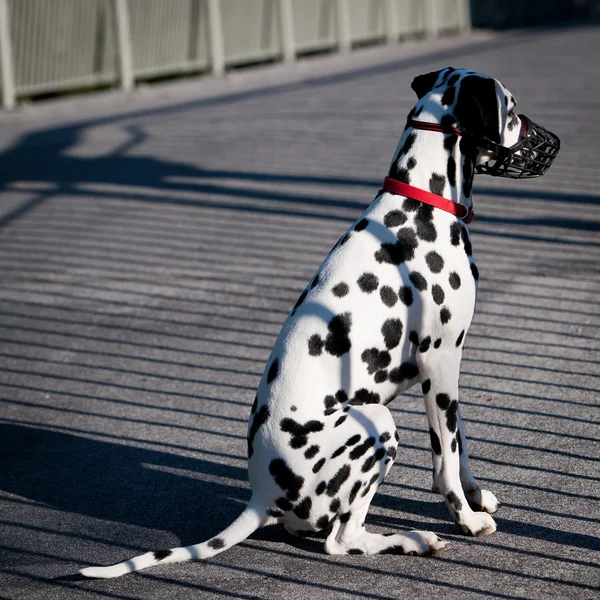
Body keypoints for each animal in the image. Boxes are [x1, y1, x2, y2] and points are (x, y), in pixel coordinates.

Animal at [78, 68, 556, 580]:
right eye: (512, 109)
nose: (551, 140)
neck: (421, 206)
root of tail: (261, 496)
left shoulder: (448, 371)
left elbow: (460, 443)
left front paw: (476, 496)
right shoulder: (441, 362)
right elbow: (445, 459)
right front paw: (465, 517)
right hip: (377, 422)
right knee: (341, 541)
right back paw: (412, 539)